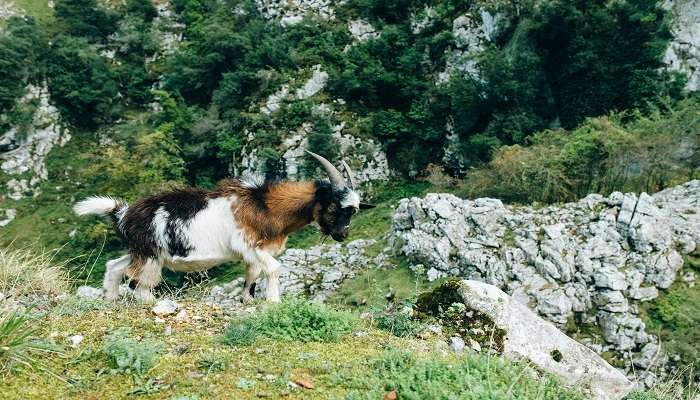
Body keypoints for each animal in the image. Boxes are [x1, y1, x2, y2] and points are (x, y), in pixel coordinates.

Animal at [72, 152, 372, 304]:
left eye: (354, 210)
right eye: (335, 205)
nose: (343, 234)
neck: (264, 205)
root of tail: (122, 213)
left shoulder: (253, 252)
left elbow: (252, 274)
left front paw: (248, 300)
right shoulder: (248, 244)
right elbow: (274, 269)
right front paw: (273, 303)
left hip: (140, 252)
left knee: (114, 266)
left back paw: (110, 300)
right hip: (149, 256)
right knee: (140, 285)